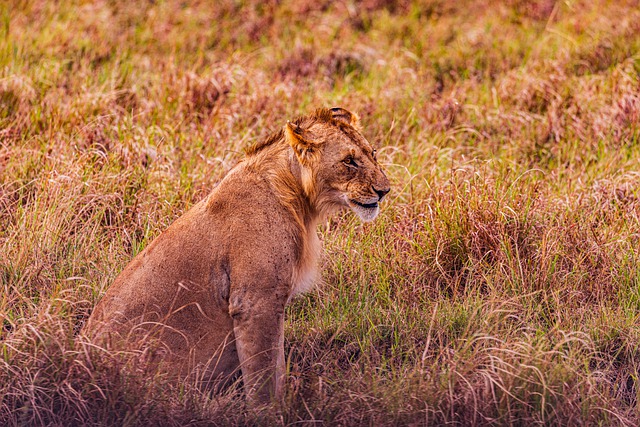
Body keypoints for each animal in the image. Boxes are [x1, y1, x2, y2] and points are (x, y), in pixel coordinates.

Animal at [80, 107, 390, 404]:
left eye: (372, 153)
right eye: (349, 161)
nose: (385, 191)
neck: (299, 199)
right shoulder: (256, 302)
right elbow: (265, 376)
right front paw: (271, 412)